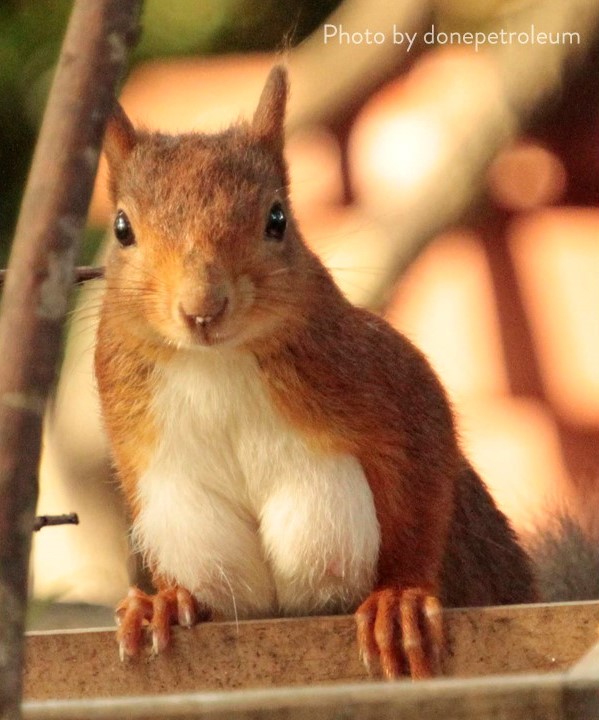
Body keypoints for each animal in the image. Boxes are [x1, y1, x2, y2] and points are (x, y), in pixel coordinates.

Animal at [95, 65, 537, 680]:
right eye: (121, 228)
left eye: (277, 219)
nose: (203, 308)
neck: (214, 363)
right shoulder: (139, 454)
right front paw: (163, 601)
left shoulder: (389, 382)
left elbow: (423, 485)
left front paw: (400, 598)